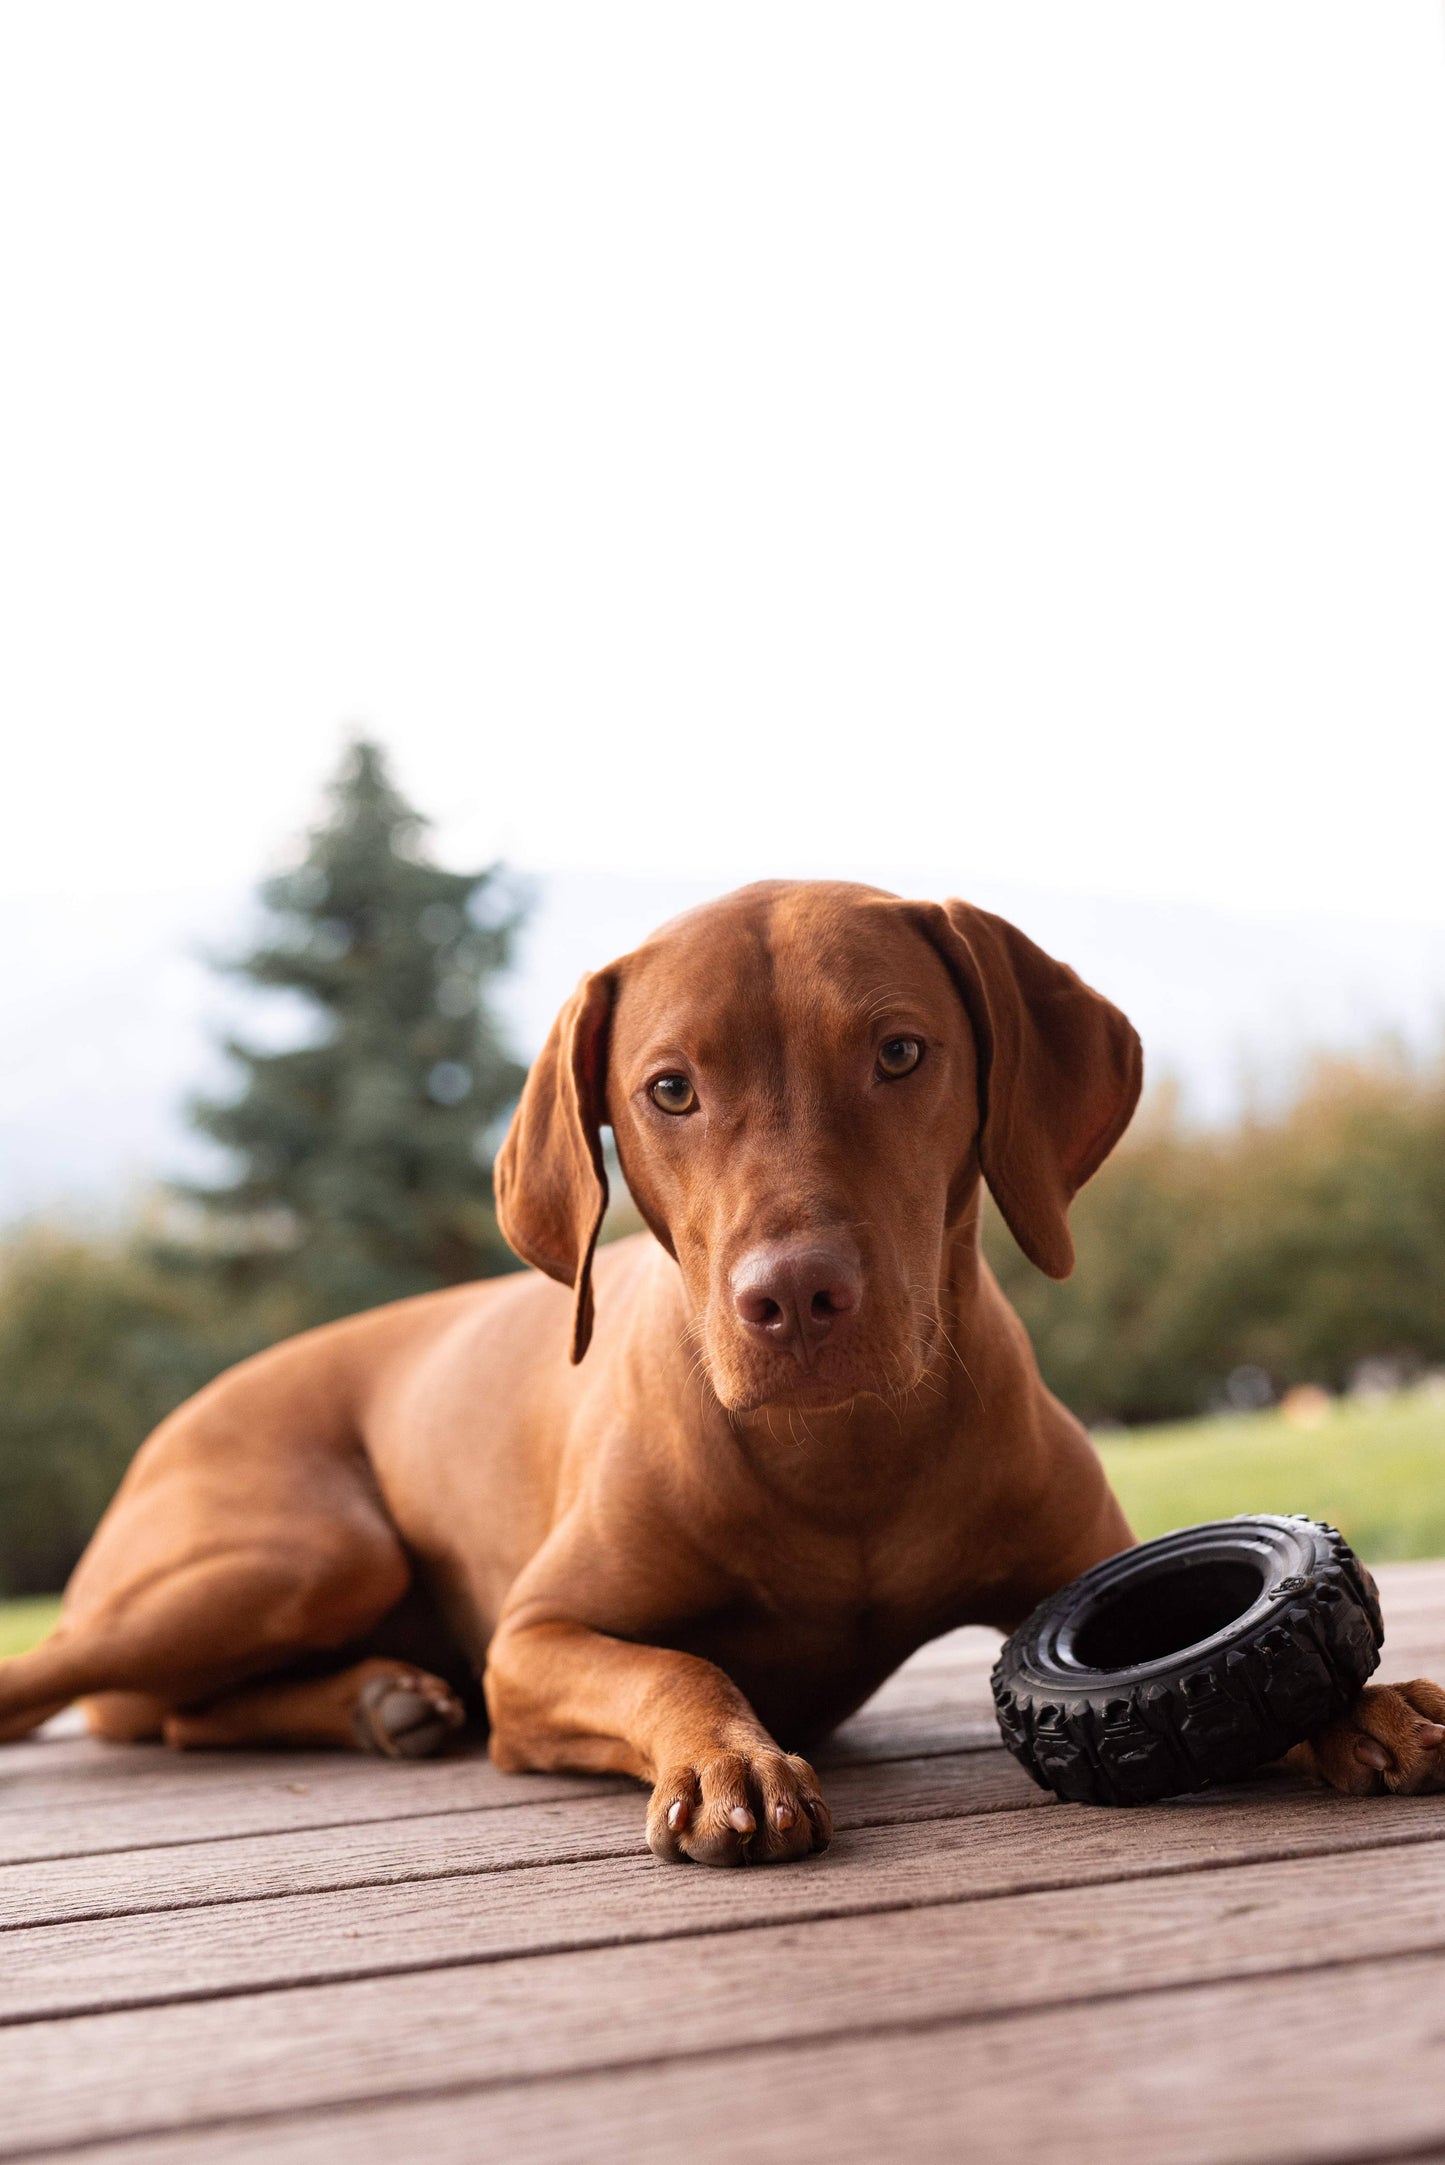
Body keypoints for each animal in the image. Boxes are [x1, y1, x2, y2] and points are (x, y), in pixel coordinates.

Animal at [2, 883, 1445, 1861]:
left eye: (900, 1051)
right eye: (669, 1088)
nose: (792, 1298)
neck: (839, 1455)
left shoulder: (1084, 1569)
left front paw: (1360, 1700)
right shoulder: (533, 1645)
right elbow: (672, 1667)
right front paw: (730, 1761)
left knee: (172, 1713)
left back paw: (380, 1699)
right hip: (303, 1552)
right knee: (103, 1690)